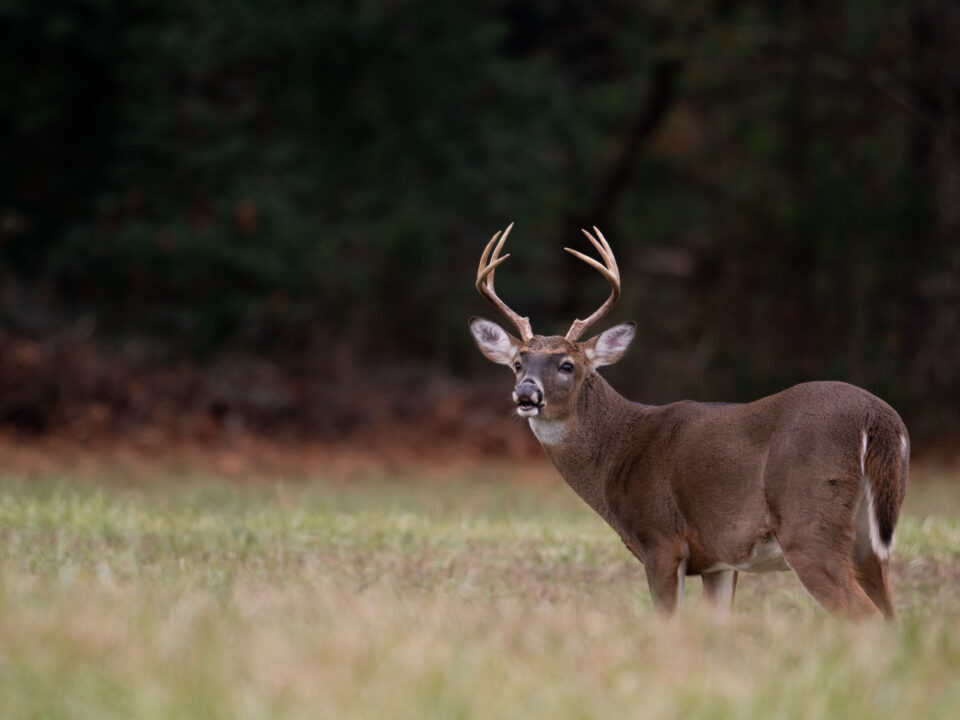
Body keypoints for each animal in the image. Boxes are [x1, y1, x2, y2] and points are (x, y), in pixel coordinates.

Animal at [469, 223, 909, 618]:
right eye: (518, 363)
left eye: (567, 365)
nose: (526, 393)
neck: (618, 454)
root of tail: (878, 416)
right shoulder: (719, 560)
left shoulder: (661, 539)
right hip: (868, 540)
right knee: (891, 616)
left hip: (809, 524)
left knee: (864, 616)